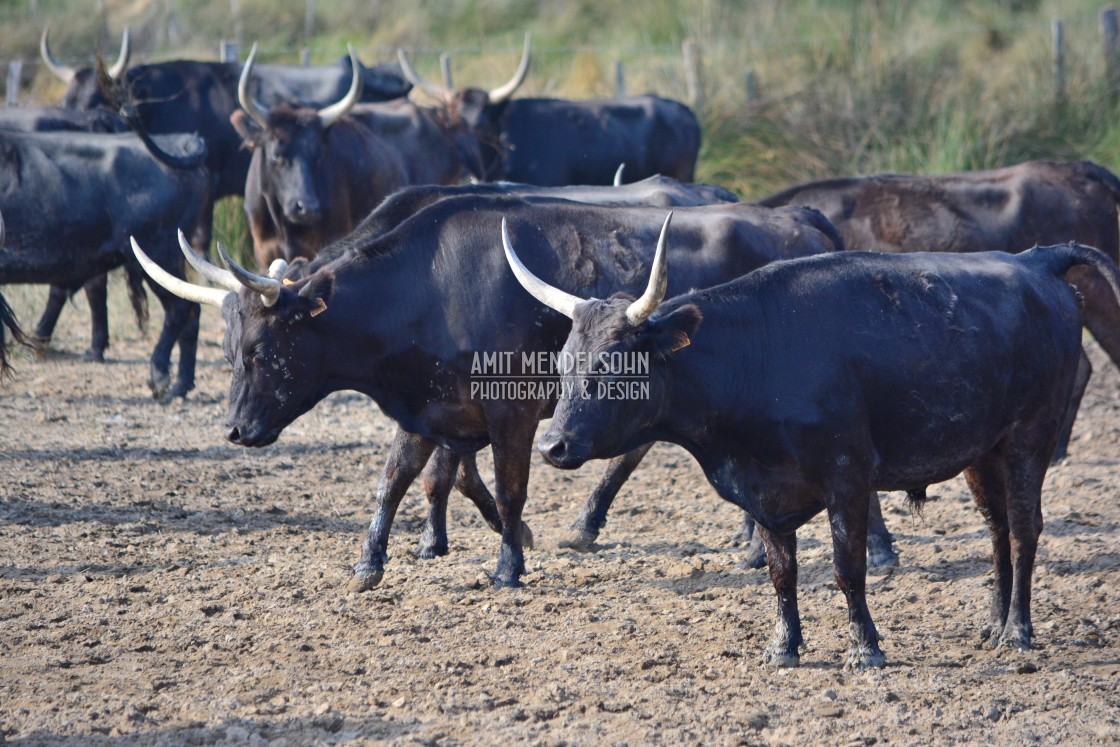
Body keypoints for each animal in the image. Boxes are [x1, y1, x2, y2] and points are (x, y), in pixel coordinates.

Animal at [0, 129, 209, 403]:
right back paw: (181, 384)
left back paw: (159, 374)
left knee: (180, 308)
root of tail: (182, 143)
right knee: (191, 311)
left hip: (158, 253)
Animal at [133, 194, 842, 591]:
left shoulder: (514, 414)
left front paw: (509, 564)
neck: (428, 287)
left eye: (262, 350)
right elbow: (398, 478)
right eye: (228, 351)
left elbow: (505, 489)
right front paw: (369, 563)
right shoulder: (427, 409)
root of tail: (796, 215)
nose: (235, 431)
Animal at [521, 230, 1120, 667]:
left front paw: (866, 648)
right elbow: (781, 574)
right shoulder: (766, 494)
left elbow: (846, 569)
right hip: (983, 450)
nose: (551, 444)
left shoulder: (847, 478)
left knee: (1023, 529)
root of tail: (1036, 260)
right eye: (562, 363)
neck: (757, 356)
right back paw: (993, 623)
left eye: (609, 367)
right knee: (997, 530)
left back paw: (1017, 631)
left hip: (1029, 438)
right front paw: (784, 647)